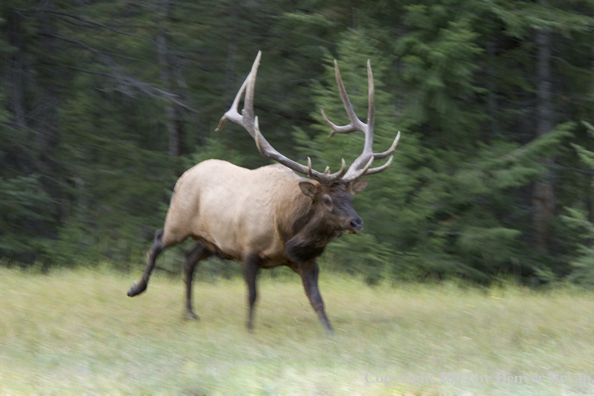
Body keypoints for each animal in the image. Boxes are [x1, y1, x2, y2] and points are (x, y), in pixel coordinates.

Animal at [127, 51, 400, 332]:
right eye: (326, 199)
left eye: (352, 197)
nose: (356, 222)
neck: (288, 229)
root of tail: (186, 173)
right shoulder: (248, 249)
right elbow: (252, 295)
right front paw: (249, 329)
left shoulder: (306, 260)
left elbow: (317, 300)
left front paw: (330, 332)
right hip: (179, 220)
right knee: (158, 241)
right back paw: (136, 288)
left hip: (211, 241)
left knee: (189, 258)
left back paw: (190, 312)